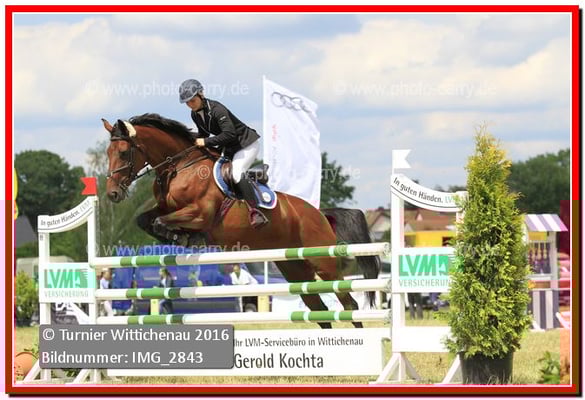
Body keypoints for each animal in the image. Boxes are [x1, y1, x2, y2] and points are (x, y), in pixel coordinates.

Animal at [102, 113, 379, 328]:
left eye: (123, 152)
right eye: (107, 152)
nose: (112, 194)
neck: (180, 166)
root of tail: (321, 214)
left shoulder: (199, 213)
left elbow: (162, 222)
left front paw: (184, 237)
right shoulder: (162, 208)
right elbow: (145, 220)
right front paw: (178, 237)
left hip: (323, 263)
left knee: (349, 303)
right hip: (295, 270)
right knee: (319, 309)